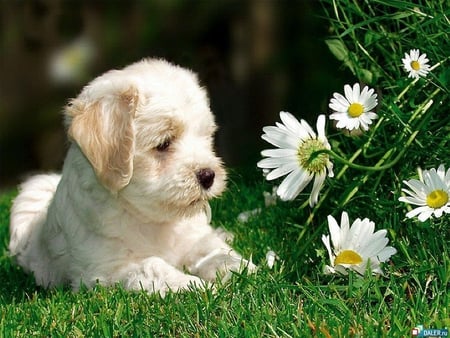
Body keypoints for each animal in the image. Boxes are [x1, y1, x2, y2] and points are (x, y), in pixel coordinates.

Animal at [7, 57, 253, 294]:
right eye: (163, 144)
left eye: (206, 137)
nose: (208, 176)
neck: (151, 220)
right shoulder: (108, 270)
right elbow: (154, 267)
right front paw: (195, 286)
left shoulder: (193, 236)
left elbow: (210, 248)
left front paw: (237, 266)